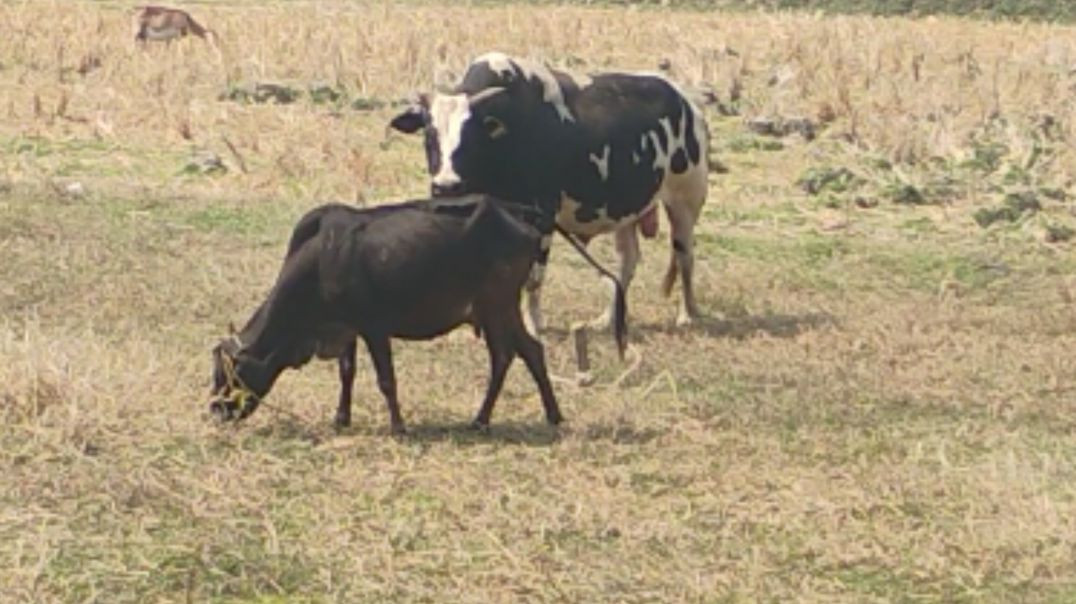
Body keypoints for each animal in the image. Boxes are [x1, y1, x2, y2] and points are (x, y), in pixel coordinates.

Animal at [208, 195, 625, 435]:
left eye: (230, 372)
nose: (216, 411)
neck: (322, 259)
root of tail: (520, 215)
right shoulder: (347, 330)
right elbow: (348, 373)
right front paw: (341, 419)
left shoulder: (374, 328)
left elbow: (386, 380)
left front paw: (398, 426)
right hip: (498, 309)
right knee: (528, 352)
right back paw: (547, 415)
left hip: (497, 306)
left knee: (507, 356)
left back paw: (483, 419)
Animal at [389, 52, 710, 333]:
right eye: (429, 136)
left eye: (471, 136)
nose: (446, 187)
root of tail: (685, 99)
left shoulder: (542, 215)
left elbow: (534, 277)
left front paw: (534, 324)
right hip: (628, 211)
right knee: (627, 262)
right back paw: (606, 320)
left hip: (685, 202)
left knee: (685, 255)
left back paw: (687, 314)